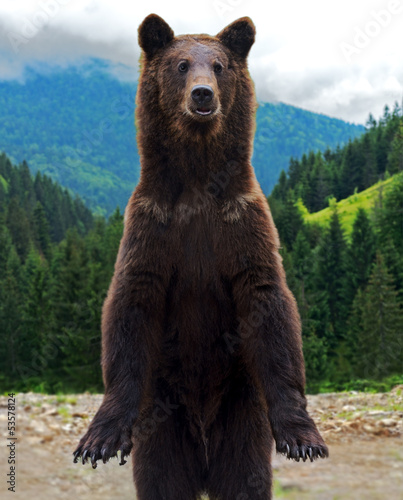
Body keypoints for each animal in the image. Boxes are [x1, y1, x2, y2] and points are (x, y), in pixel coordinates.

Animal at [73, 13, 328, 498]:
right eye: (181, 65)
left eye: (220, 65)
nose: (202, 94)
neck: (197, 178)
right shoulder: (154, 226)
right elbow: (130, 304)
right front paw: (99, 438)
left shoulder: (240, 222)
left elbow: (269, 301)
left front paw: (303, 437)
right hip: (163, 420)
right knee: (163, 478)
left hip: (242, 412)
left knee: (244, 478)